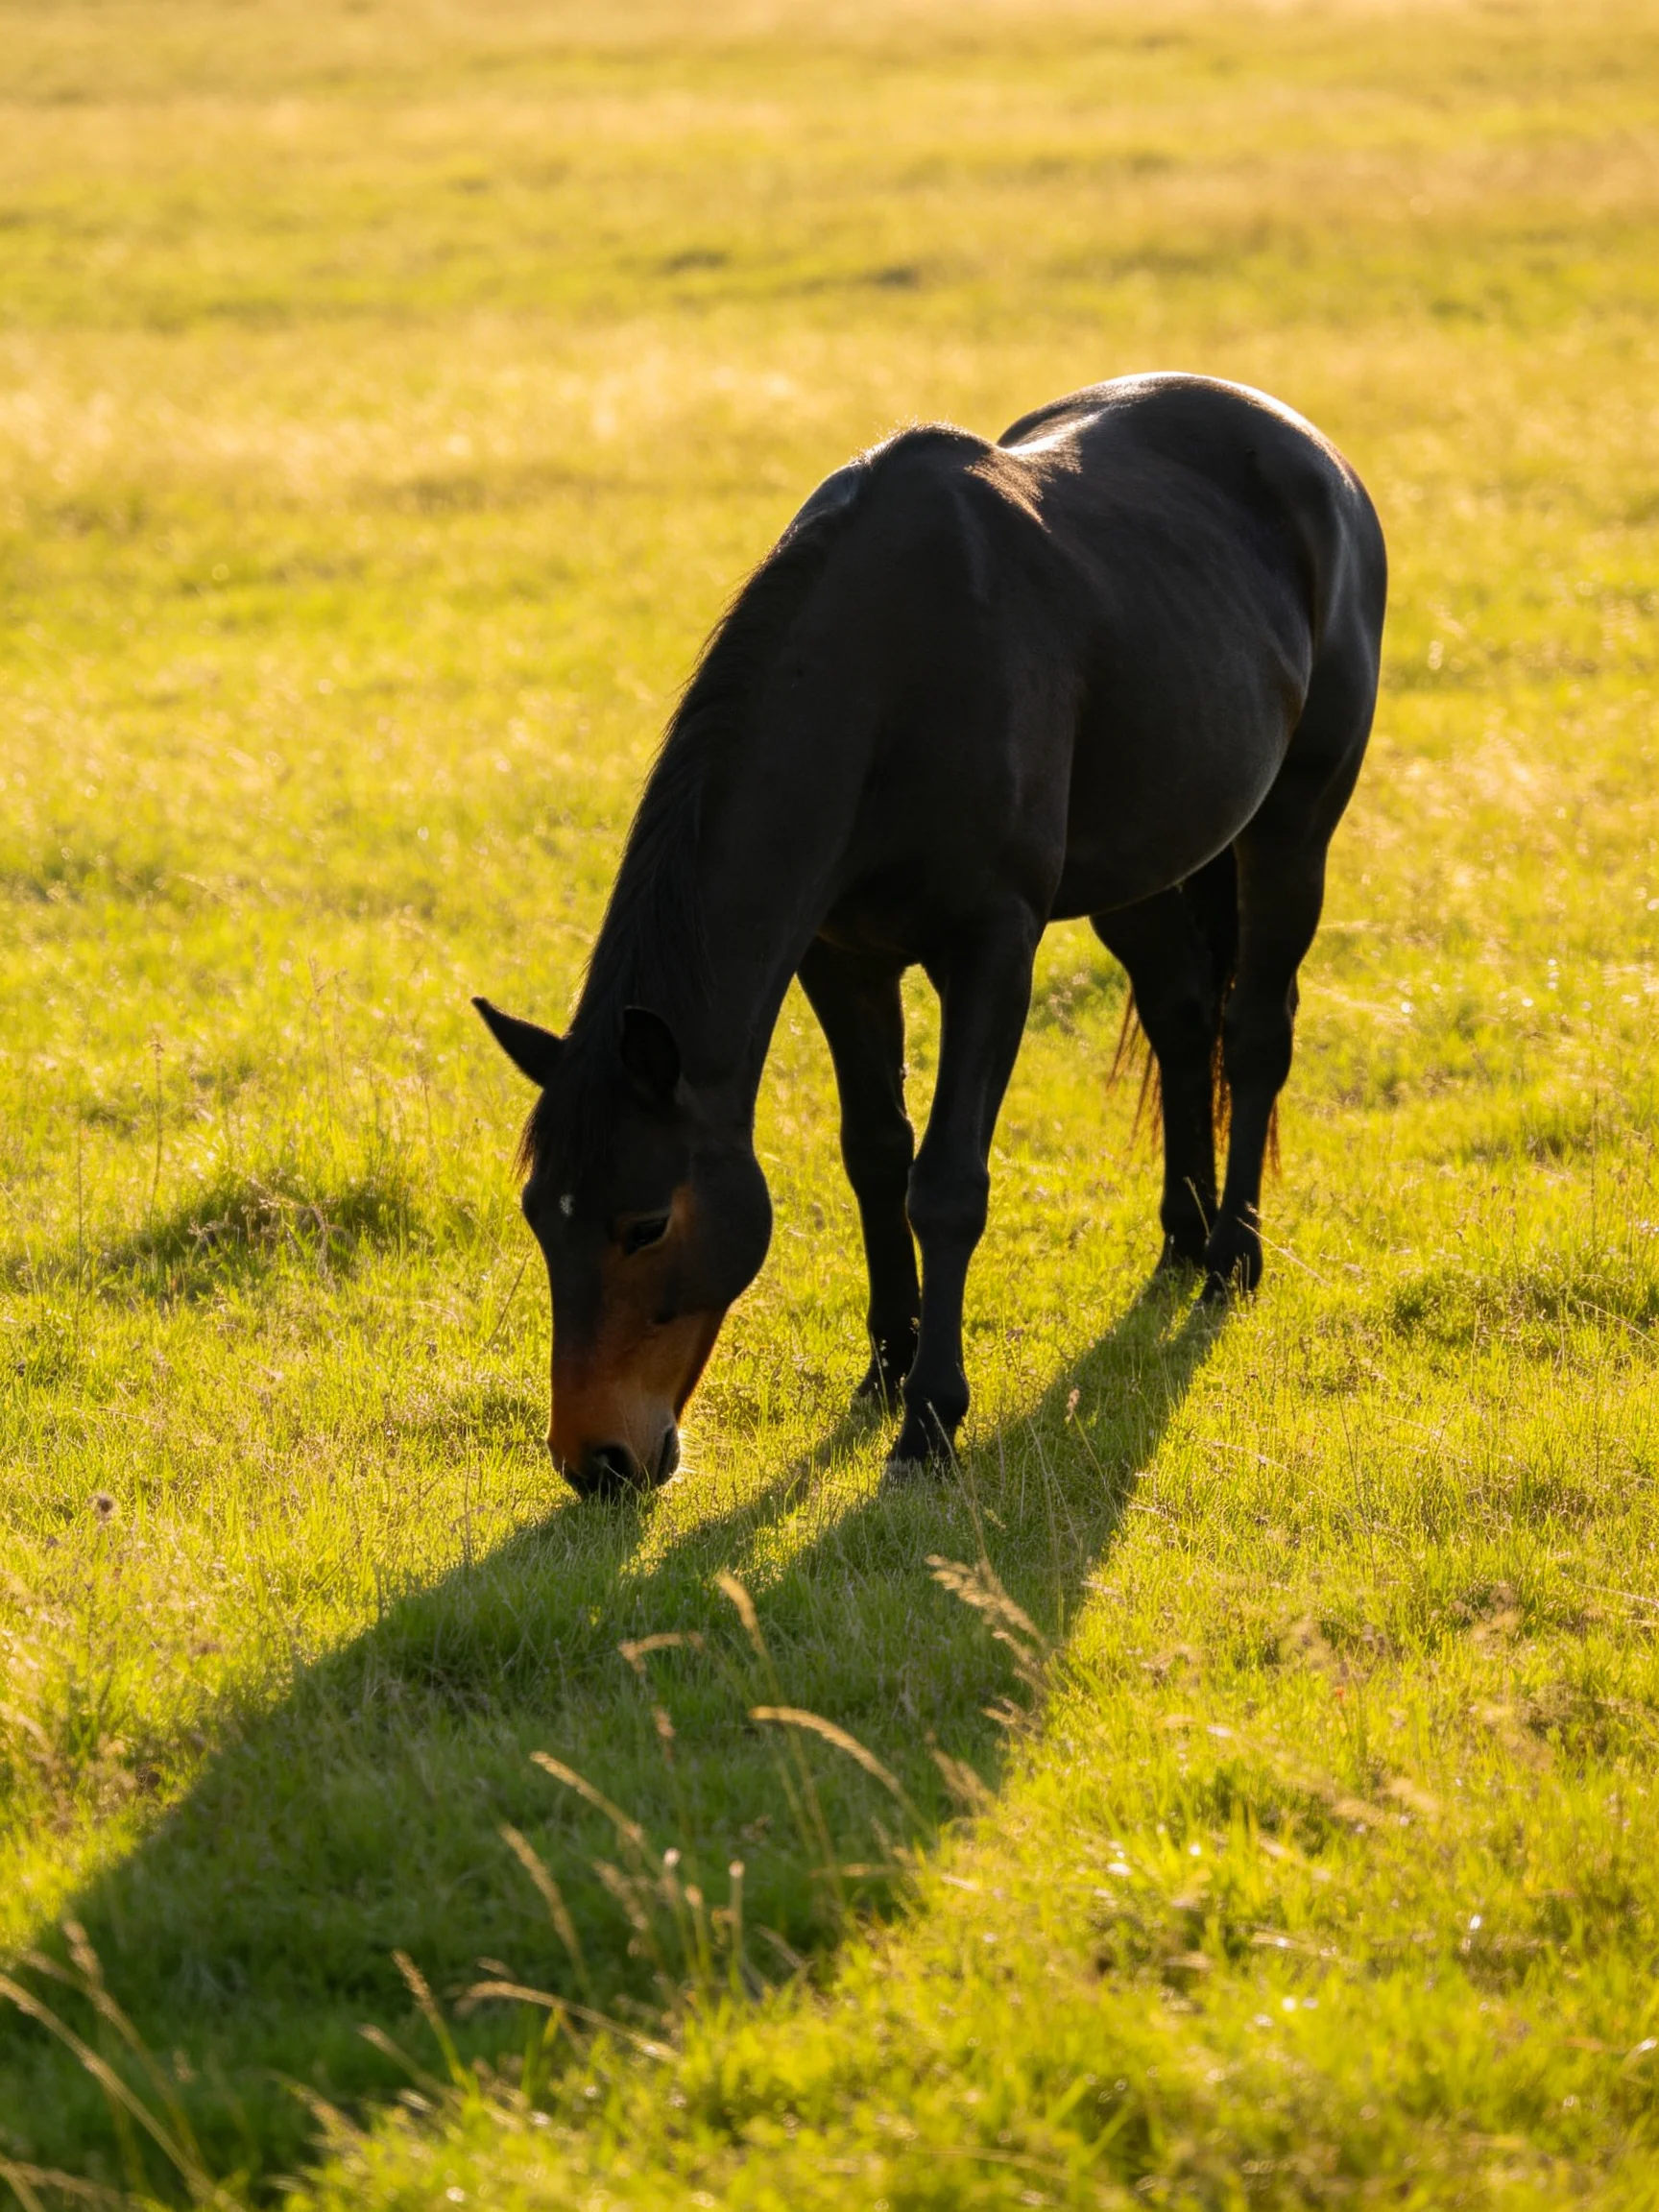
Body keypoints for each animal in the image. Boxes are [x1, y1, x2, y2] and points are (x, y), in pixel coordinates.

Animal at [476, 373, 1387, 1497]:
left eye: (644, 1224)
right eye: (537, 1214)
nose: (596, 1461)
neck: (891, 677)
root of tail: (1308, 452)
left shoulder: (991, 950)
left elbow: (947, 1184)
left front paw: (930, 1421)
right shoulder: (841, 957)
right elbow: (875, 1152)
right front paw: (885, 1366)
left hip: (1295, 822)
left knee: (1256, 1033)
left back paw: (1230, 1261)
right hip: (1145, 861)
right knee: (1182, 1016)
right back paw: (1181, 1239)